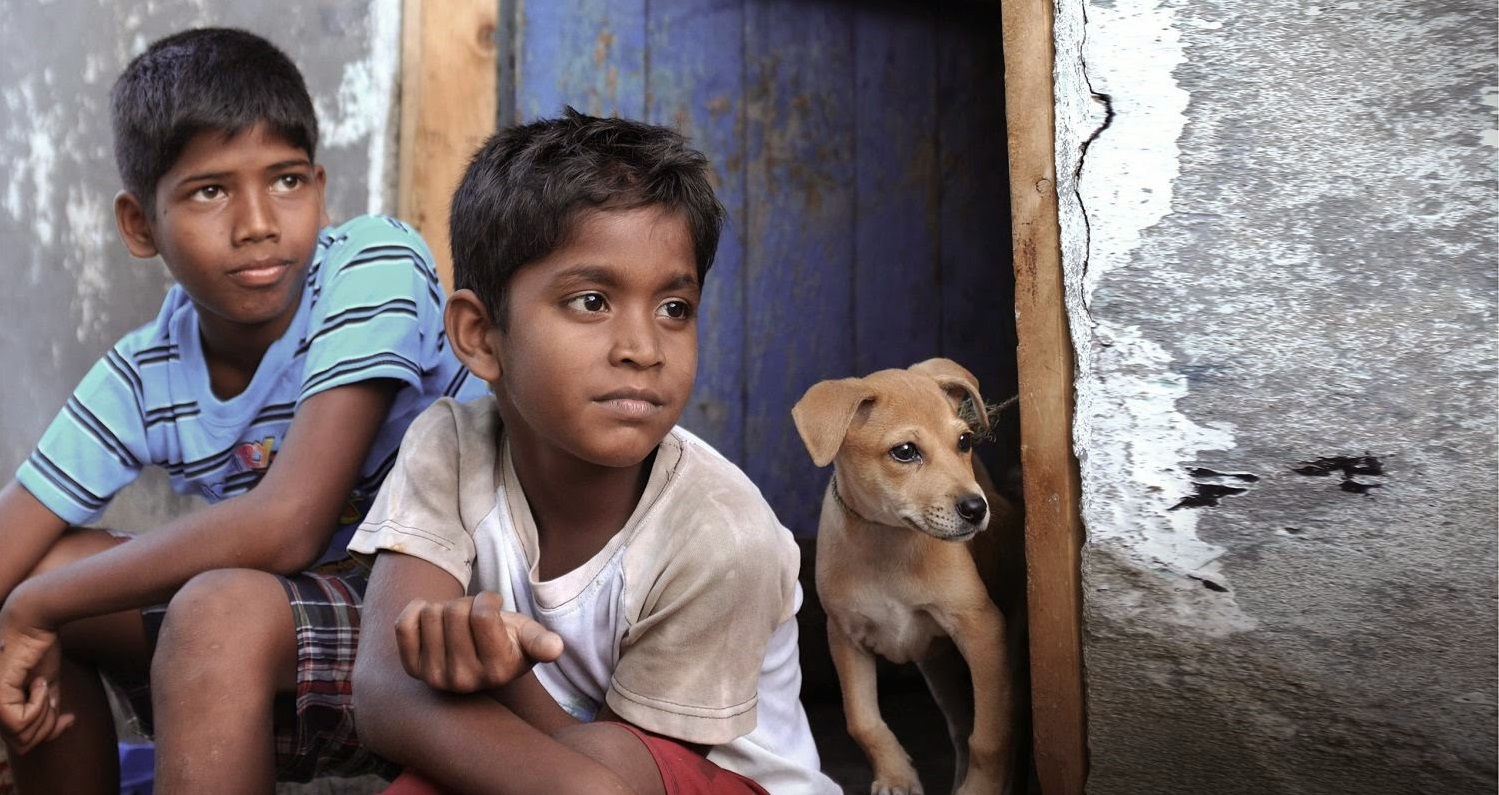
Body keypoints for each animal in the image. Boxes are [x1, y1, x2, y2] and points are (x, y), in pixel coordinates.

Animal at [785, 358, 1019, 792]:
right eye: (905, 452)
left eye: (964, 442)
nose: (975, 509)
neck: (890, 542)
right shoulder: (845, 637)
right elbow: (862, 721)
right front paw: (896, 776)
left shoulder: (983, 631)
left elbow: (991, 736)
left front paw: (981, 788)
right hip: (940, 670)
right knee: (959, 727)